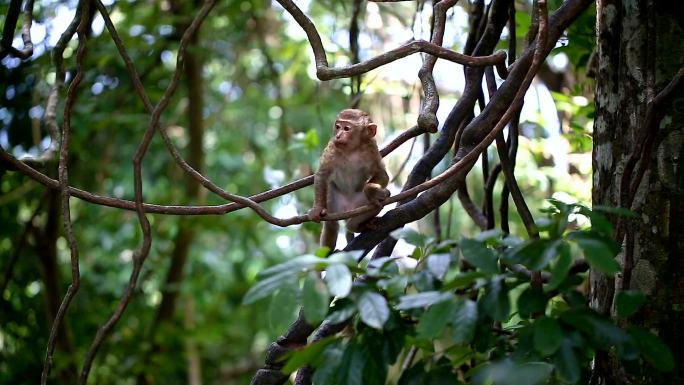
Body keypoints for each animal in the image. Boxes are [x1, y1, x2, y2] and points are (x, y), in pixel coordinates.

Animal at [310, 108, 390, 249]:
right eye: (337, 127)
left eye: (347, 128)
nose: (338, 135)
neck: (352, 149)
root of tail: (349, 208)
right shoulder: (332, 147)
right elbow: (322, 175)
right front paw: (317, 209)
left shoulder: (371, 147)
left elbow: (381, 174)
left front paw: (372, 191)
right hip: (334, 202)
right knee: (331, 225)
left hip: (359, 203)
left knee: (379, 202)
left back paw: (357, 225)